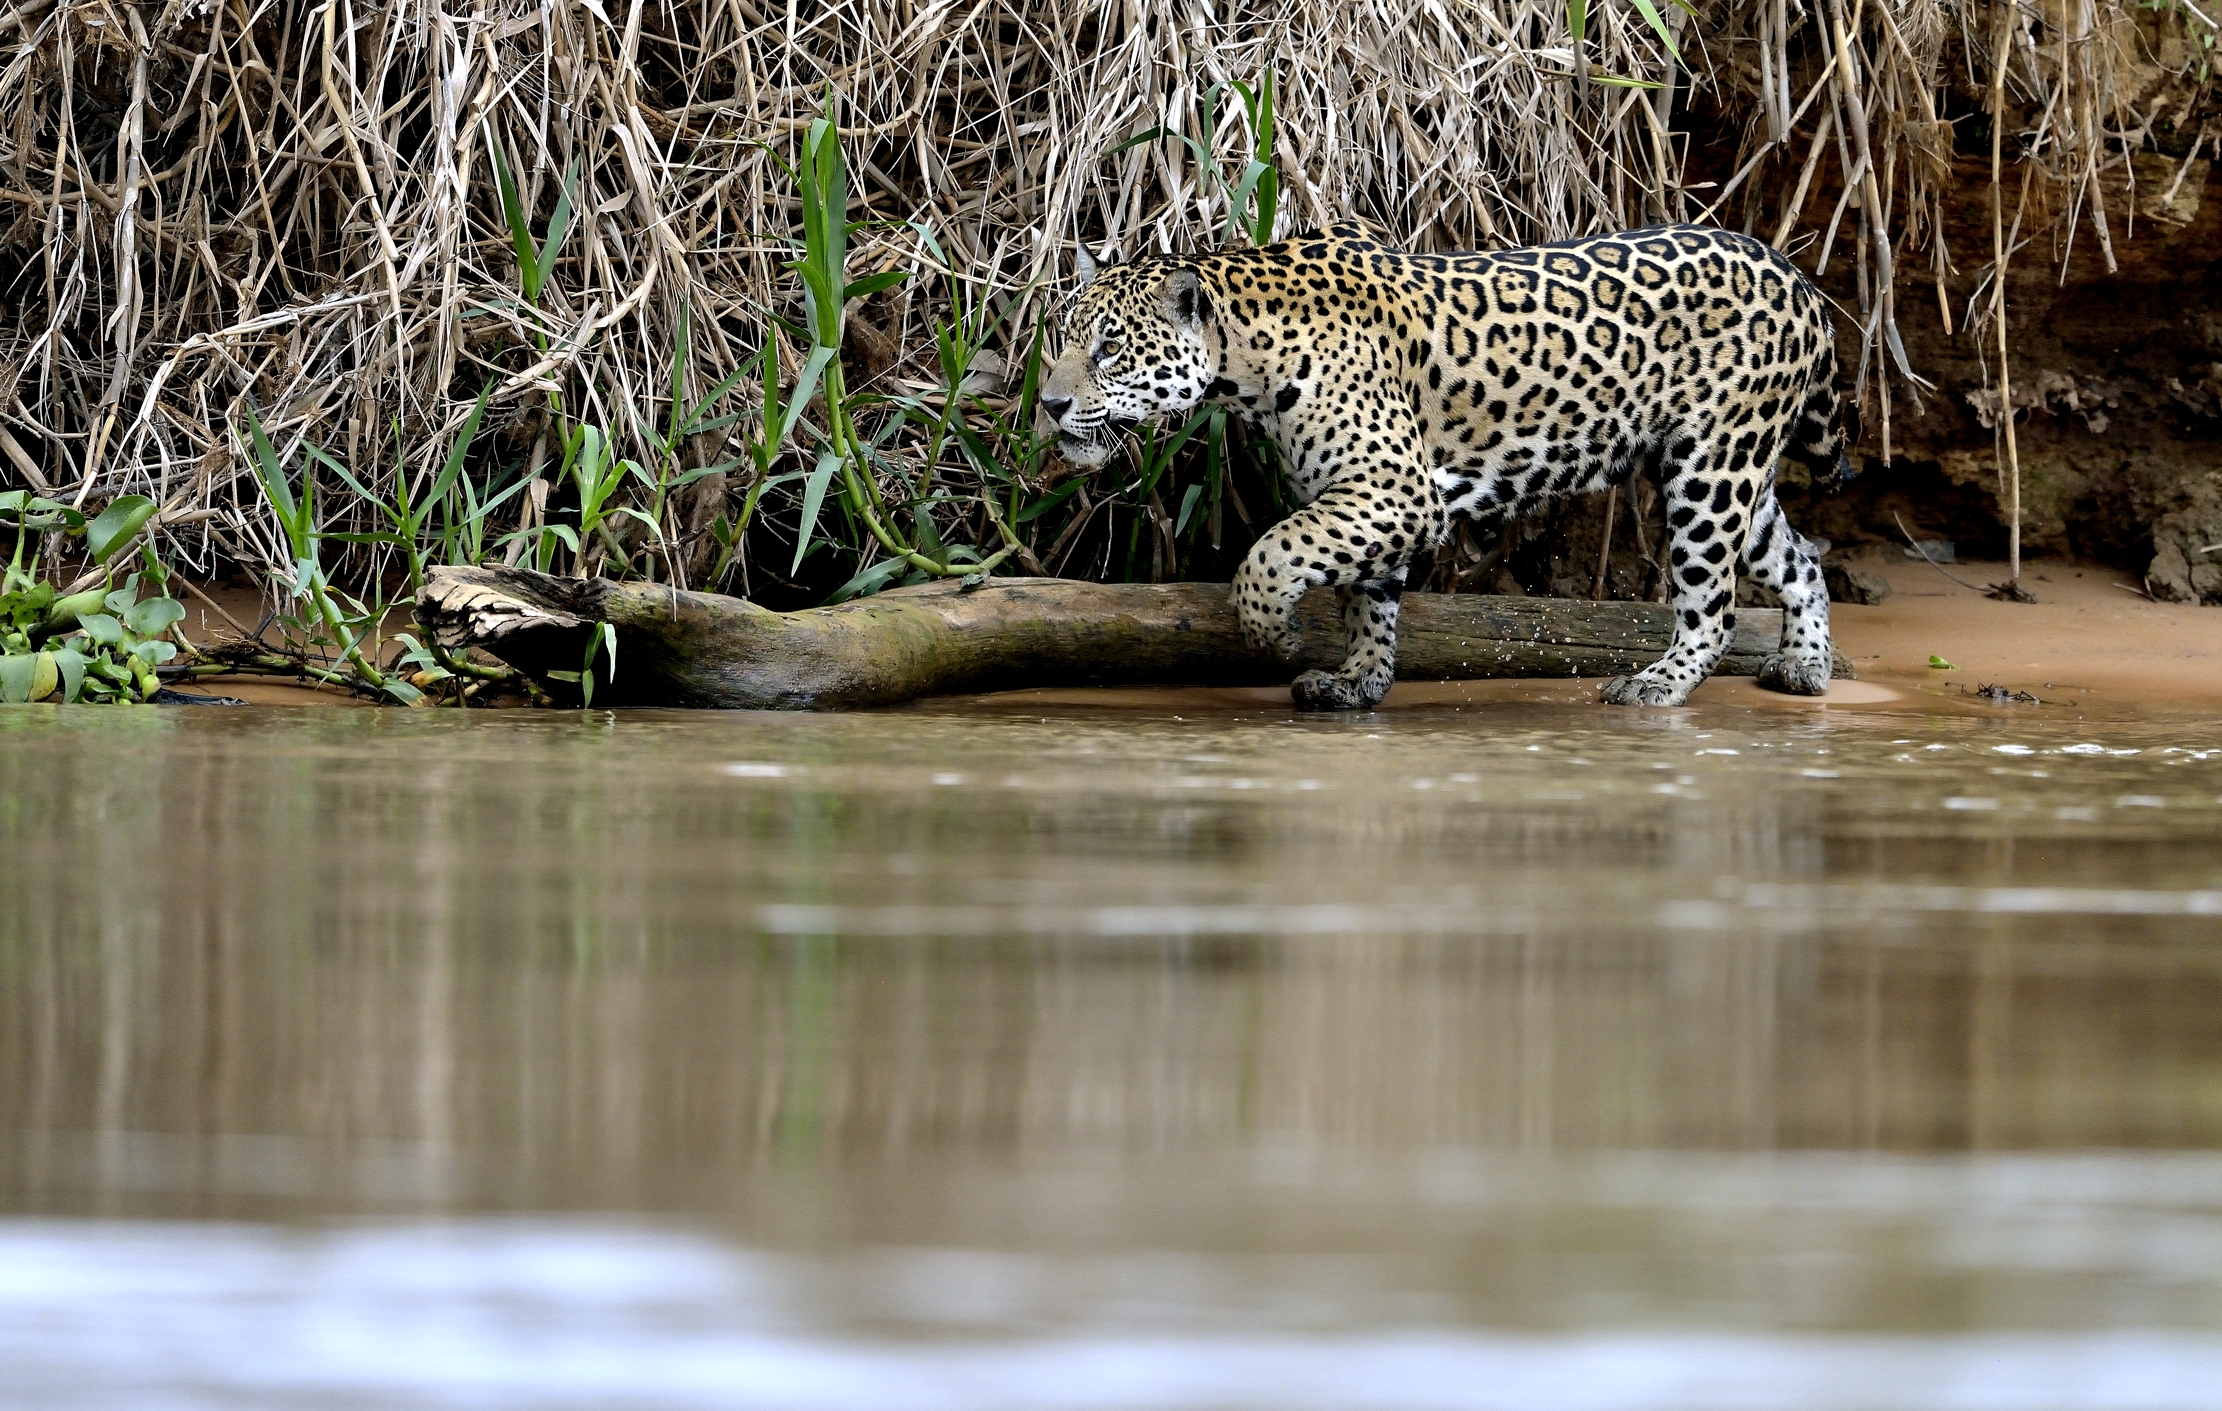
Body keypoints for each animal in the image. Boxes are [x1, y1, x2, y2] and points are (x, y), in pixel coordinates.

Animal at [1037, 221, 1853, 709]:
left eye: (1110, 348)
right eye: (1064, 336)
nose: (1047, 402)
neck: (1246, 363)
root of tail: (1797, 275)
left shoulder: (1394, 488)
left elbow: (1273, 553)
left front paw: (1275, 634)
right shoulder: (1365, 498)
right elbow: (1368, 595)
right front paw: (1359, 679)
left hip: (1712, 475)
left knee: (1713, 603)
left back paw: (1658, 683)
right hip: (1723, 467)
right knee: (1801, 556)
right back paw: (1805, 665)